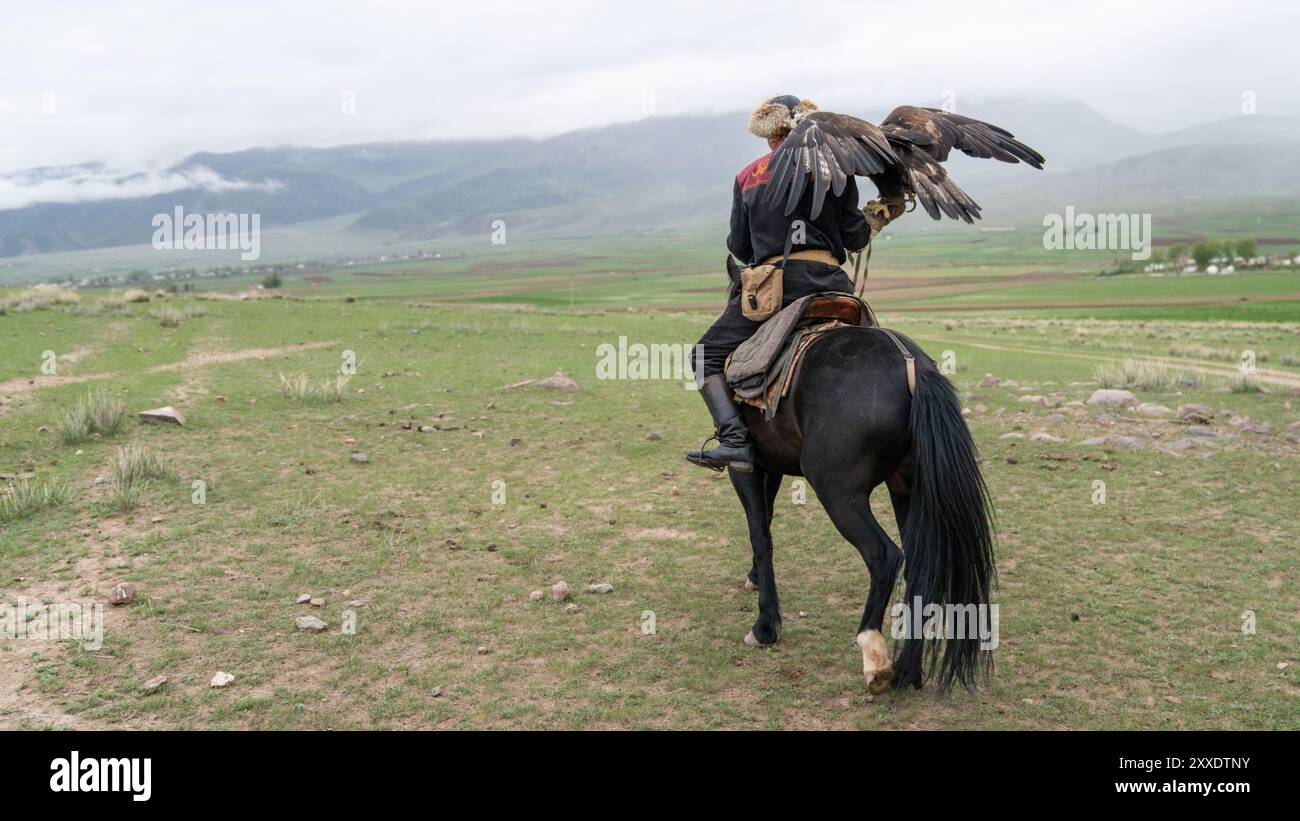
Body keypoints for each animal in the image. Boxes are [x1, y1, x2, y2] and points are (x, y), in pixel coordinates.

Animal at [722, 293, 993, 691]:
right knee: (920, 563)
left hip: (839, 494)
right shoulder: (769, 464)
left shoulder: (744, 465)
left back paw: (875, 658)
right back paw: (906, 670)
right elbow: (766, 521)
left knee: (884, 556)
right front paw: (755, 579)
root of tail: (916, 369)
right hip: (906, 489)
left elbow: (760, 533)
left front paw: (766, 626)